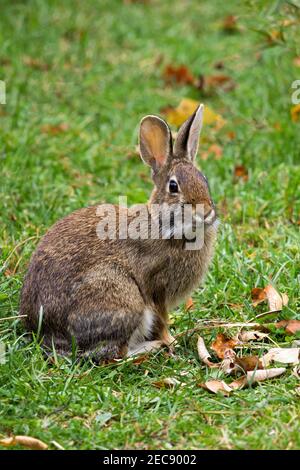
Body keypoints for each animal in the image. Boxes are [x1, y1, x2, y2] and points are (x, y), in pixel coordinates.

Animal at [20, 104, 218, 362]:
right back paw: (150, 347)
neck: (163, 224)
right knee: (115, 353)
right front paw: (171, 342)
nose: (206, 212)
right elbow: (161, 321)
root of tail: (47, 334)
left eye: (204, 180)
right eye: (173, 186)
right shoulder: (156, 289)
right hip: (122, 296)